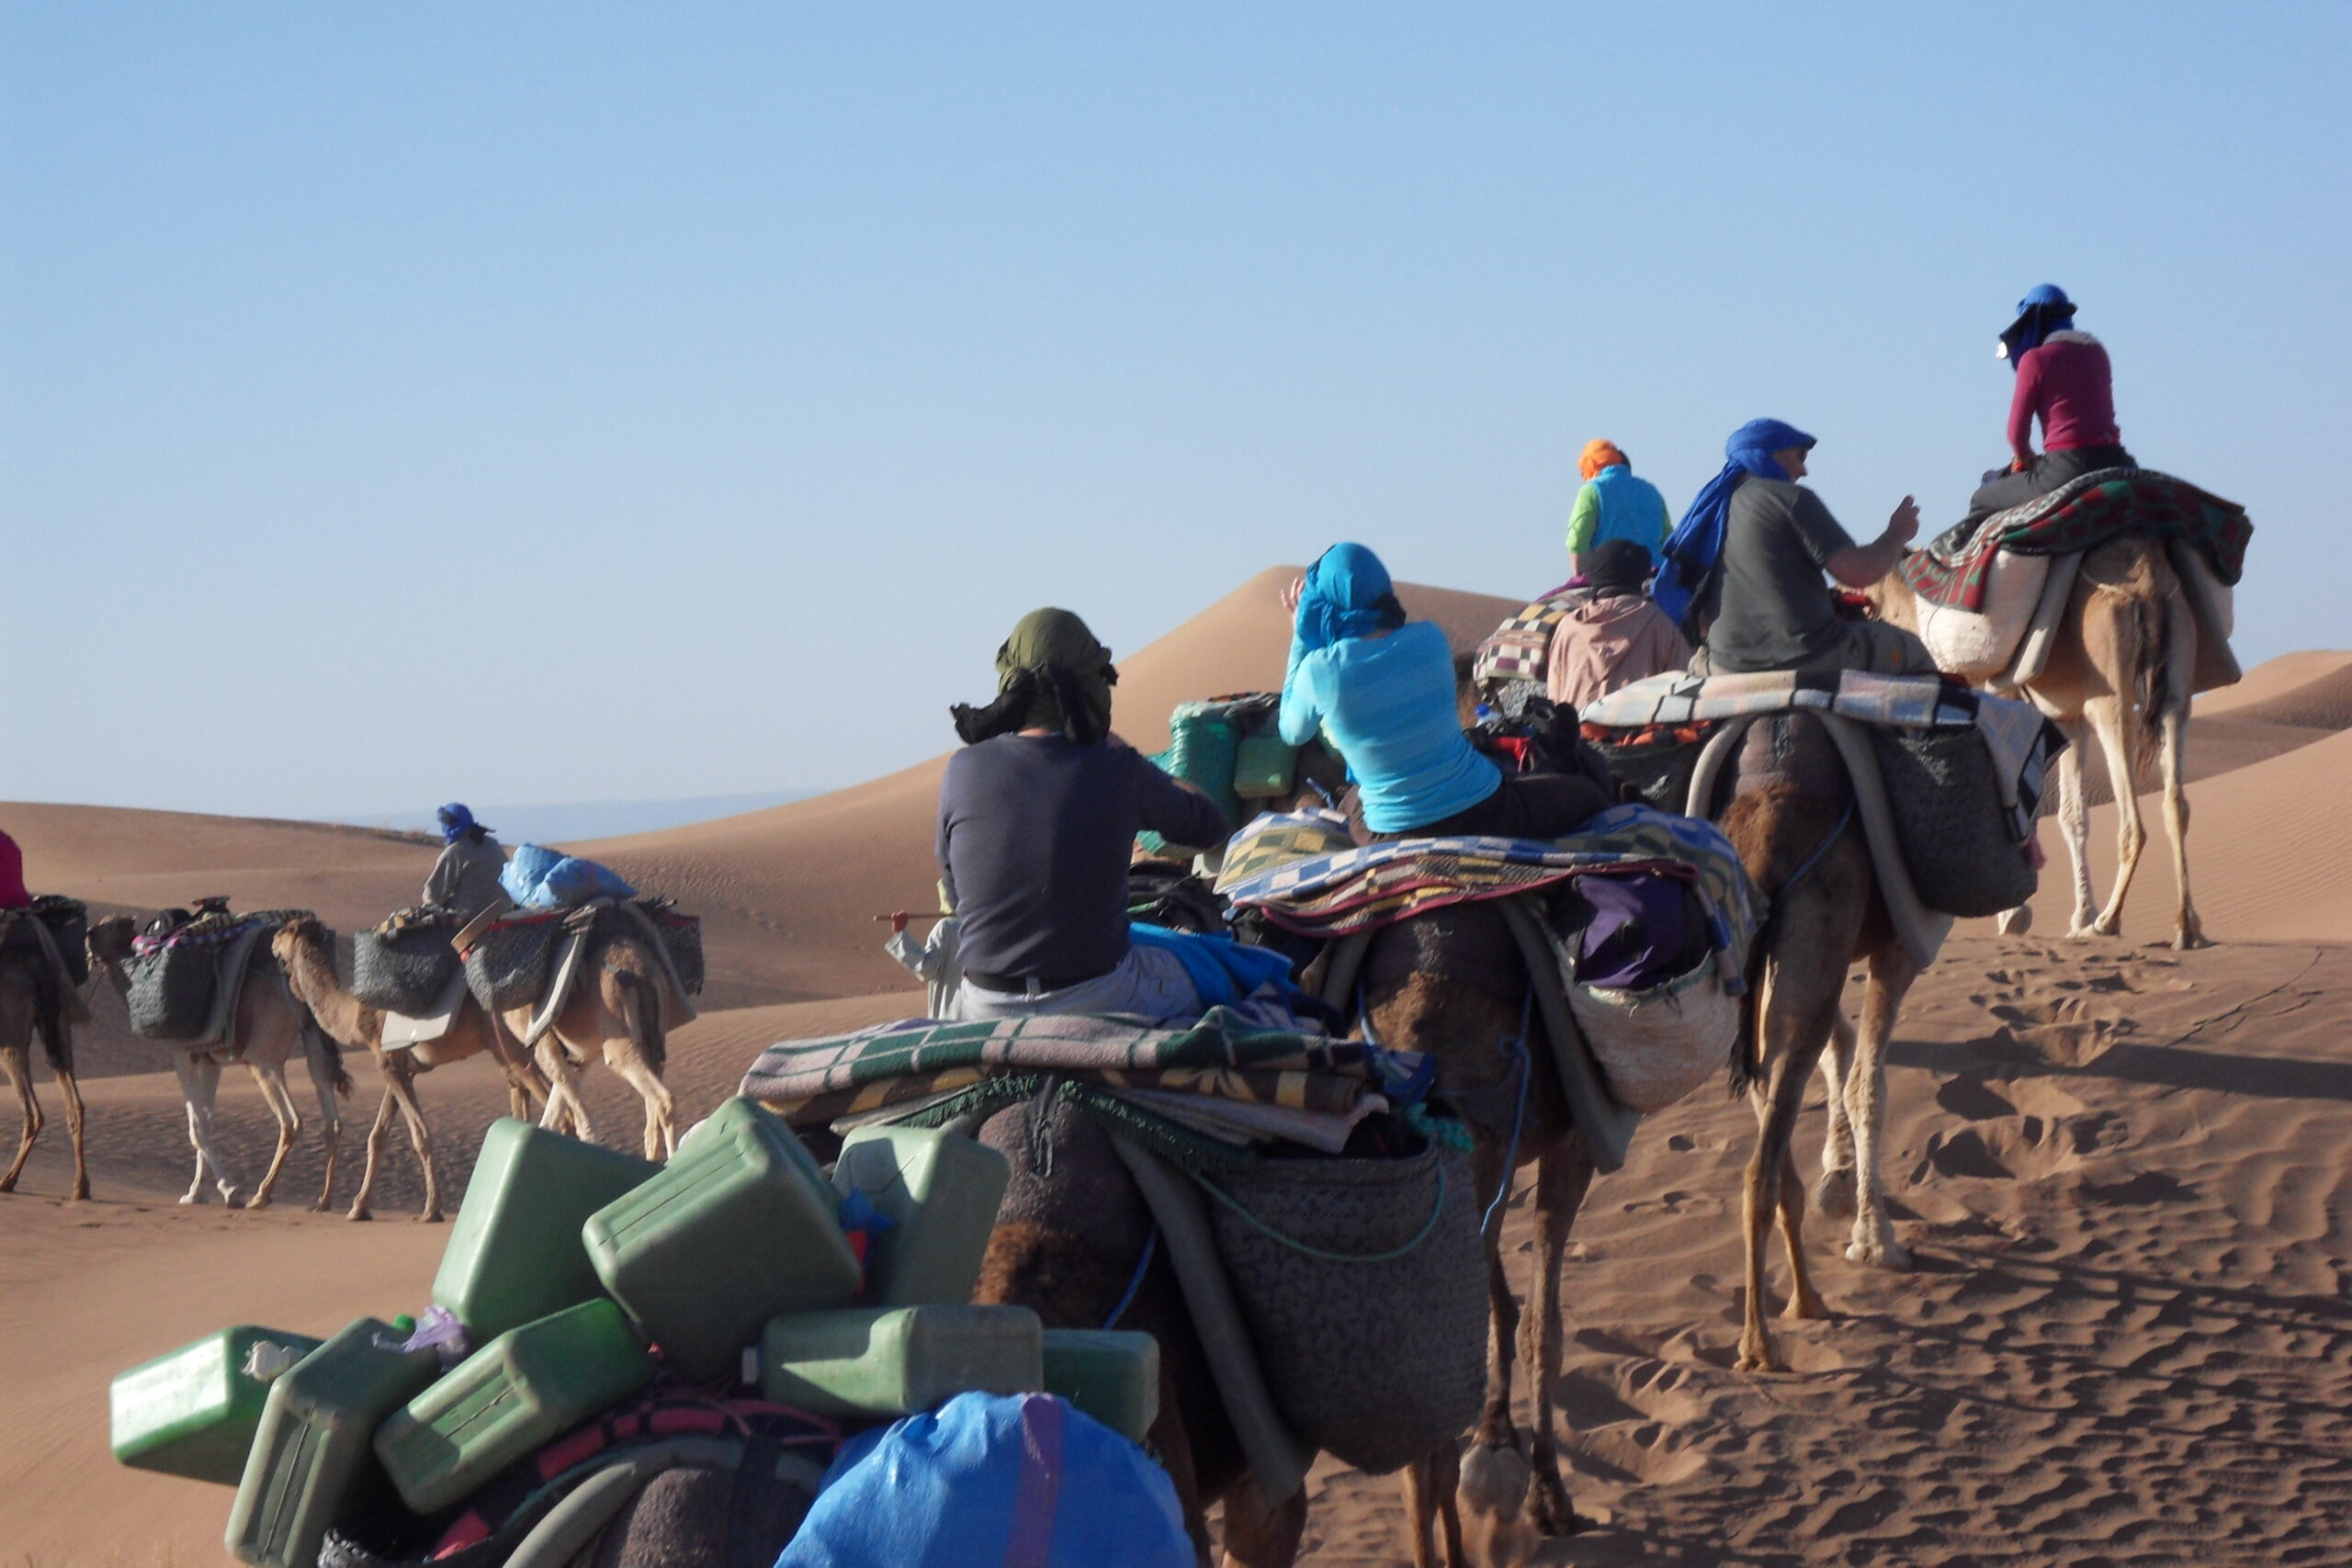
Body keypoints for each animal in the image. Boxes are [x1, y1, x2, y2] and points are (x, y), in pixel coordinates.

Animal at [0, 926, 88, 1213]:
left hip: (11, 1040)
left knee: (33, 1114)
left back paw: (8, 1180)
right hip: (59, 1028)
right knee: (75, 1104)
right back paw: (80, 1188)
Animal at [85, 911, 350, 1213]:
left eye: (109, 926)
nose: (88, 936)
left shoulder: (182, 1052)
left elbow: (197, 1128)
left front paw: (229, 1190)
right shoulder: (210, 1059)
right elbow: (207, 1122)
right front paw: (197, 1192)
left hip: (263, 1056)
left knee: (291, 1121)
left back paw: (261, 1195)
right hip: (314, 1035)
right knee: (331, 1119)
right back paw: (323, 1201)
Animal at [270, 921, 550, 1222]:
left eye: (285, 931)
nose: (272, 940)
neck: (354, 1015)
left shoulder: (388, 1062)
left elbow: (420, 1135)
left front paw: (431, 1210)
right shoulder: (401, 1068)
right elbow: (377, 1137)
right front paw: (359, 1208)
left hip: (510, 1044)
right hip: (508, 1048)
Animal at [1871, 531, 2201, 944]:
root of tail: (2146, 584)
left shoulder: (2005, 696)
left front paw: (2016, 917)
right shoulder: (2070, 721)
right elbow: (2073, 817)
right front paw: (2078, 916)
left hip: (2111, 694)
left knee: (2134, 822)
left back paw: (2109, 921)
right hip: (2177, 678)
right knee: (2176, 802)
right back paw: (2186, 927)